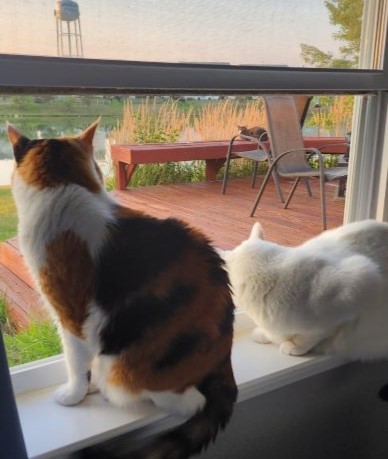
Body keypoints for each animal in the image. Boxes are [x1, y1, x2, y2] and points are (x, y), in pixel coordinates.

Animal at [8, 122, 236, 459]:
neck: (63, 188)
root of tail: (224, 357)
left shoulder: (71, 311)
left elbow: (75, 359)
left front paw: (74, 394)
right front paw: (85, 388)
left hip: (120, 368)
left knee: (188, 403)